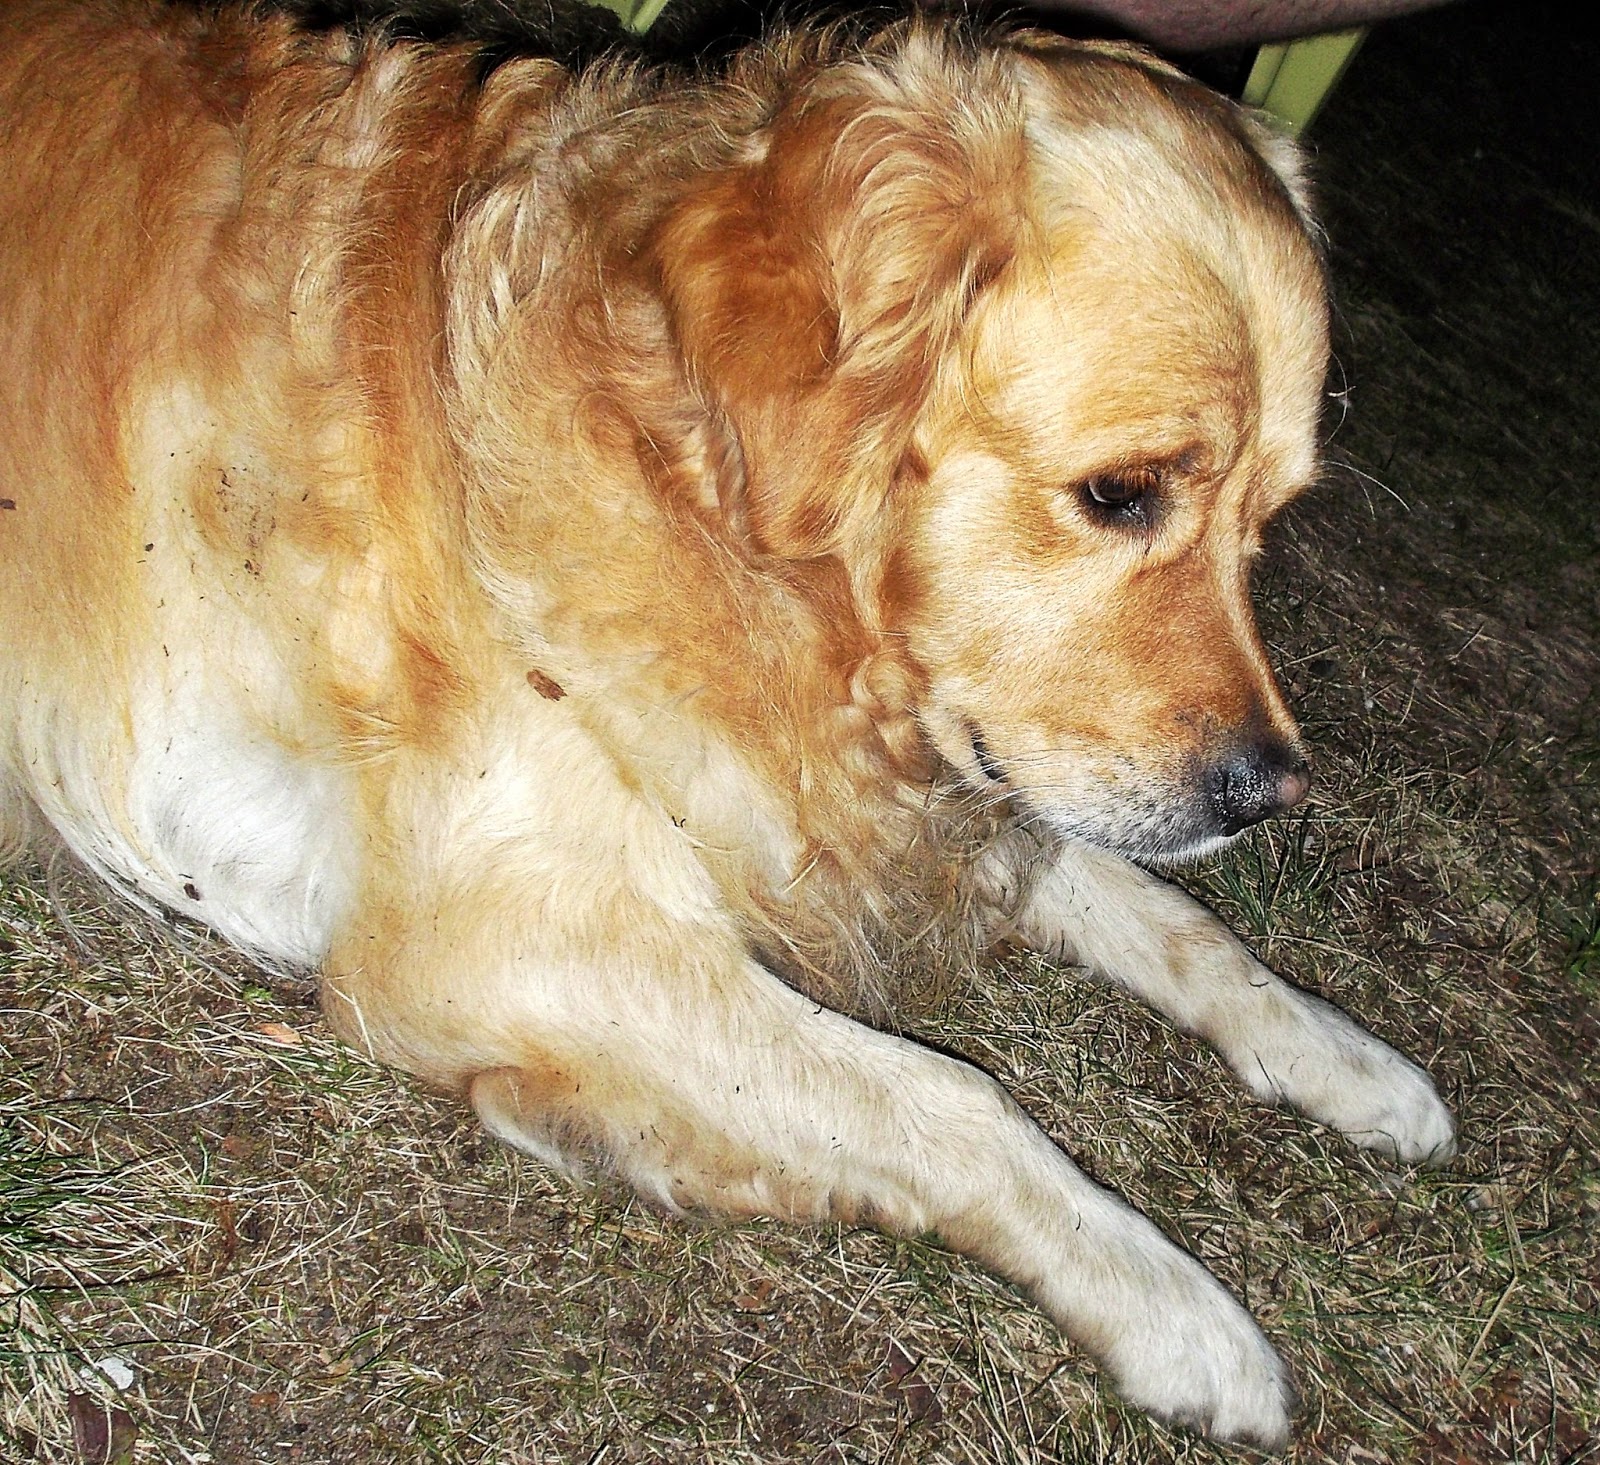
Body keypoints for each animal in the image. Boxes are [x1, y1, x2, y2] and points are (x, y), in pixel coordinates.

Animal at [0, 0, 1457, 1447]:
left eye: (1272, 518)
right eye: (1119, 492)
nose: (1269, 793)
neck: (698, 493)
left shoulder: (874, 793)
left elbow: (1170, 918)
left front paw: (1342, 1054)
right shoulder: (506, 935)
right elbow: (953, 1097)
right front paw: (1174, 1307)